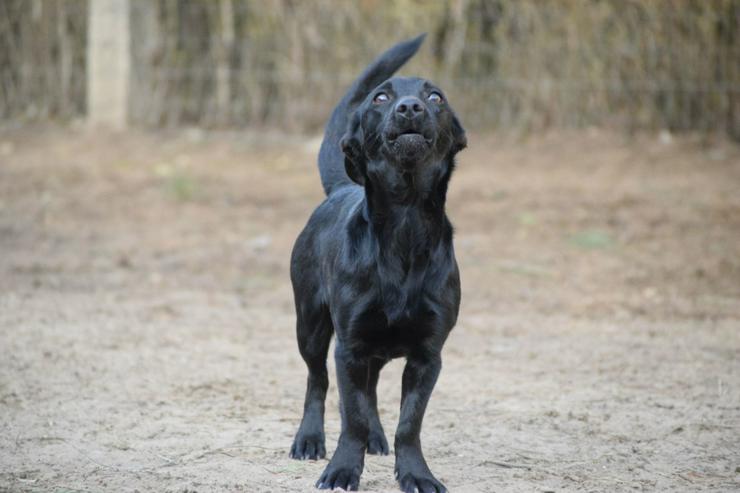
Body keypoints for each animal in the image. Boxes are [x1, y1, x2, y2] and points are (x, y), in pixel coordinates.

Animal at [292, 35, 466, 492]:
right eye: (381, 97)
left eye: (436, 97)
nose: (410, 108)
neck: (404, 228)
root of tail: (340, 188)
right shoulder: (349, 346)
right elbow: (349, 416)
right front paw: (340, 471)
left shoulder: (427, 355)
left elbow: (409, 423)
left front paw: (417, 474)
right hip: (311, 326)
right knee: (317, 381)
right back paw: (309, 439)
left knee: (368, 392)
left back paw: (375, 436)